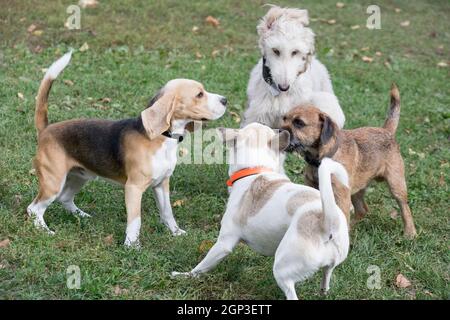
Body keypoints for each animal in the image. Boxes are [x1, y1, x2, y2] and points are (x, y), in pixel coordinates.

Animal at [26, 51, 227, 246]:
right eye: (199, 94)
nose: (225, 100)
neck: (162, 138)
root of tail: (46, 129)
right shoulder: (134, 188)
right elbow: (135, 220)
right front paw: (131, 246)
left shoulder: (162, 184)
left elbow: (168, 213)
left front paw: (176, 233)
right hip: (53, 181)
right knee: (34, 209)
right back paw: (45, 231)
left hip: (80, 176)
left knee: (65, 198)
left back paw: (81, 216)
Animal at [171, 123, 350, 300]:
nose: (281, 128)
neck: (256, 169)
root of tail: (327, 223)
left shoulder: (223, 244)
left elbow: (201, 267)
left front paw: (184, 275)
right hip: (329, 263)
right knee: (327, 274)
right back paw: (323, 291)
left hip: (282, 268)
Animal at [284, 84, 416, 239]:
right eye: (284, 119)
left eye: (299, 123)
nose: (279, 130)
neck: (322, 159)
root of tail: (386, 131)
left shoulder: (341, 196)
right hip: (356, 190)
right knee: (363, 210)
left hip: (396, 184)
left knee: (405, 207)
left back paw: (410, 232)